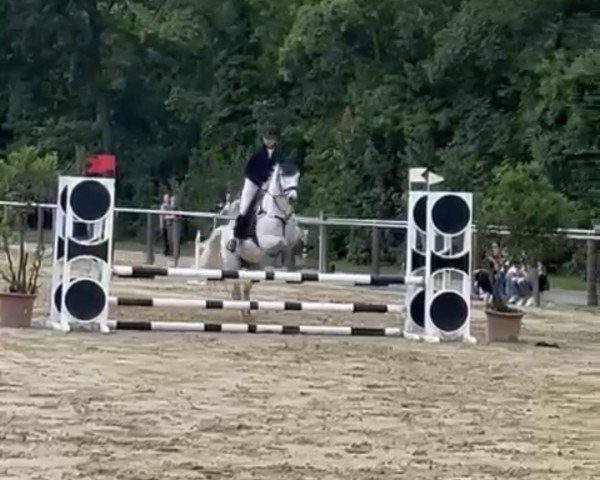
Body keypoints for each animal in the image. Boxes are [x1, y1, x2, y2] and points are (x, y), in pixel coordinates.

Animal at [197, 164, 302, 316]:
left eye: (297, 176)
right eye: (283, 175)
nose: (293, 198)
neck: (276, 213)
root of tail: (222, 230)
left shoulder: (291, 238)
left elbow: (291, 243)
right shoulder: (267, 241)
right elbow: (280, 243)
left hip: (252, 266)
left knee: (246, 286)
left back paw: (248, 311)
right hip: (233, 264)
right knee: (236, 288)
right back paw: (242, 311)